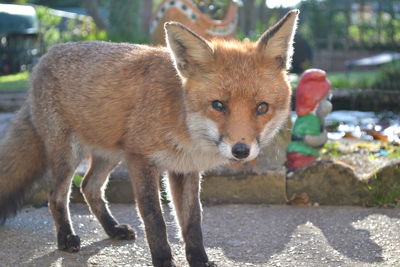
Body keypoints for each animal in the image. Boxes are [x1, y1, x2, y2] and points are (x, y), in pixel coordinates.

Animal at [0, 9, 296, 267]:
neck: (184, 123)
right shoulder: (141, 159)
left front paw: (199, 260)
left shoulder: (185, 168)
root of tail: (44, 58)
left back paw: (112, 229)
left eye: (262, 108)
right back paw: (66, 238)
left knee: (88, 187)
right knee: (56, 196)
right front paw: (163, 260)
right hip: (69, 155)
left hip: (111, 154)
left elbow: (192, 221)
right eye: (218, 105)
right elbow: (155, 218)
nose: (241, 150)